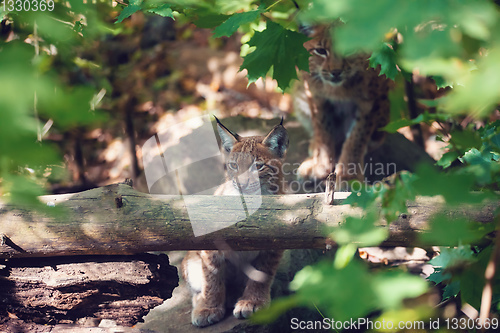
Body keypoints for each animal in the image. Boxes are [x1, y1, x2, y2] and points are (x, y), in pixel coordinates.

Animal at [182, 117, 290, 326]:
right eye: (233, 166)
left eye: (258, 166)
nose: (241, 184)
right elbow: (212, 276)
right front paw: (209, 308)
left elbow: (262, 274)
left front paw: (252, 302)